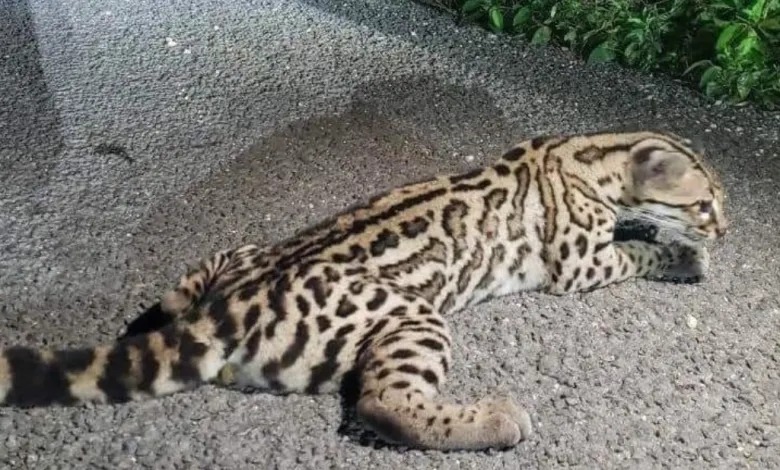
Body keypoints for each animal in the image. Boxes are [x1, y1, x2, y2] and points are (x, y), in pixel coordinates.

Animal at [0, 130, 727, 451]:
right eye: (707, 204)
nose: (728, 227)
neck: (592, 154)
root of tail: (229, 303)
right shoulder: (577, 264)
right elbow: (637, 250)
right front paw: (682, 254)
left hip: (227, 256)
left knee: (170, 300)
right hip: (416, 317)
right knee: (384, 404)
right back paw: (492, 421)